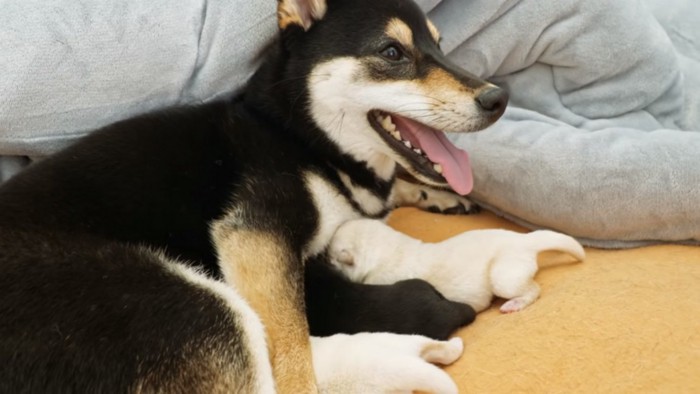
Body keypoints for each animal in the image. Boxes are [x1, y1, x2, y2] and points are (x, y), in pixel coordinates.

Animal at [328, 220, 584, 312]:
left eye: (330, 254)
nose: (323, 256)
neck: (386, 249)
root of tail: (525, 240)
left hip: (504, 276)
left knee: (533, 290)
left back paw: (514, 304)